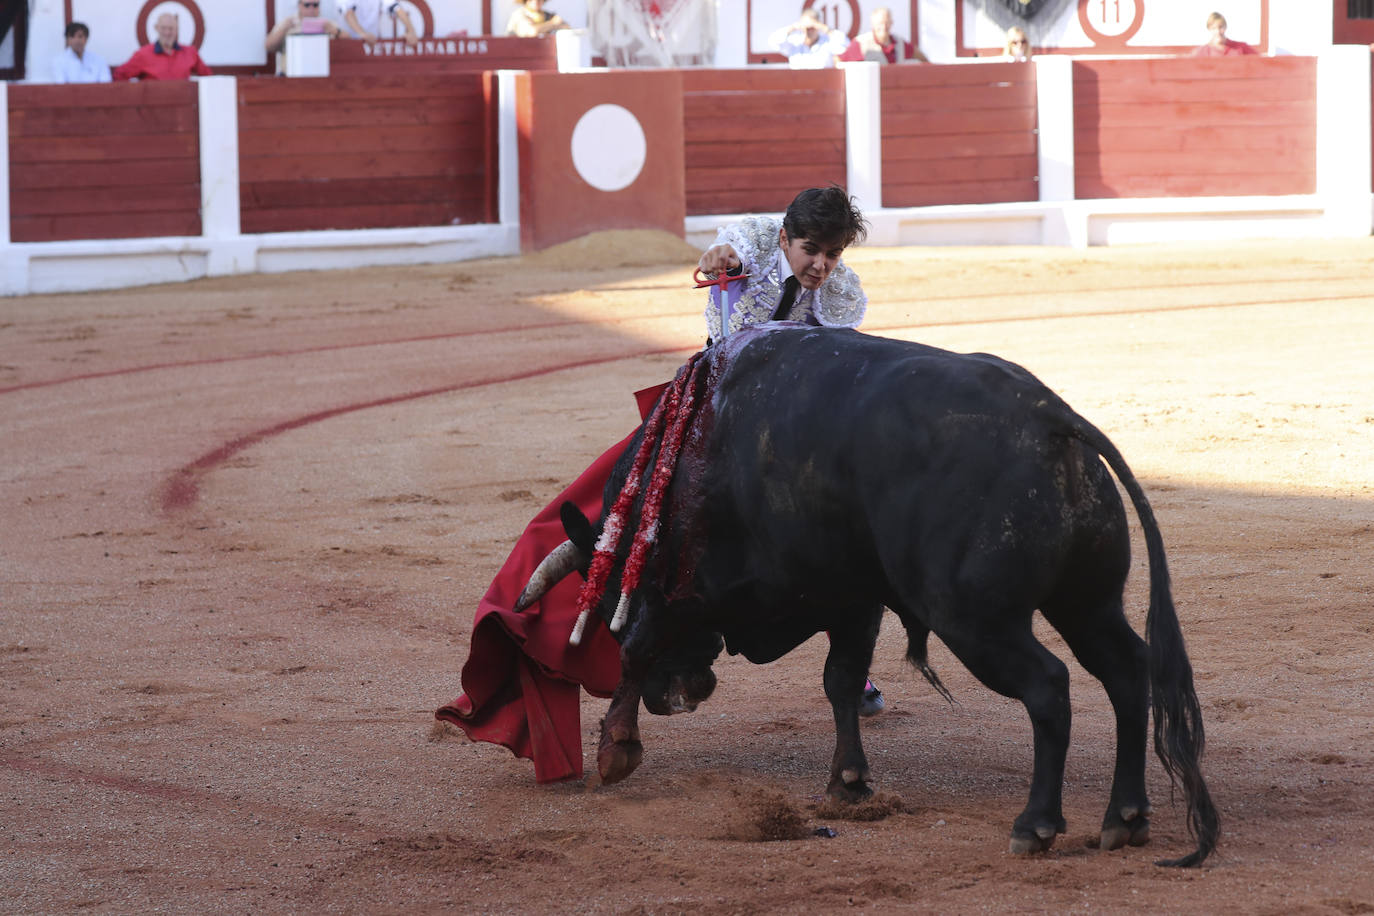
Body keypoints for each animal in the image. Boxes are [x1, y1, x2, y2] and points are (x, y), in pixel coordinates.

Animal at [519, 325, 1220, 873]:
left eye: (610, 591)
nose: (676, 698)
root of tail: (1052, 416)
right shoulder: (852, 597)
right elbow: (841, 680)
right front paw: (848, 785)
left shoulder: (688, 589)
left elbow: (637, 645)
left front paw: (616, 751)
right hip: (1088, 604)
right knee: (1127, 671)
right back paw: (1124, 817)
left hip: (976, 621)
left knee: (1049, 686)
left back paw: (1035, 825)